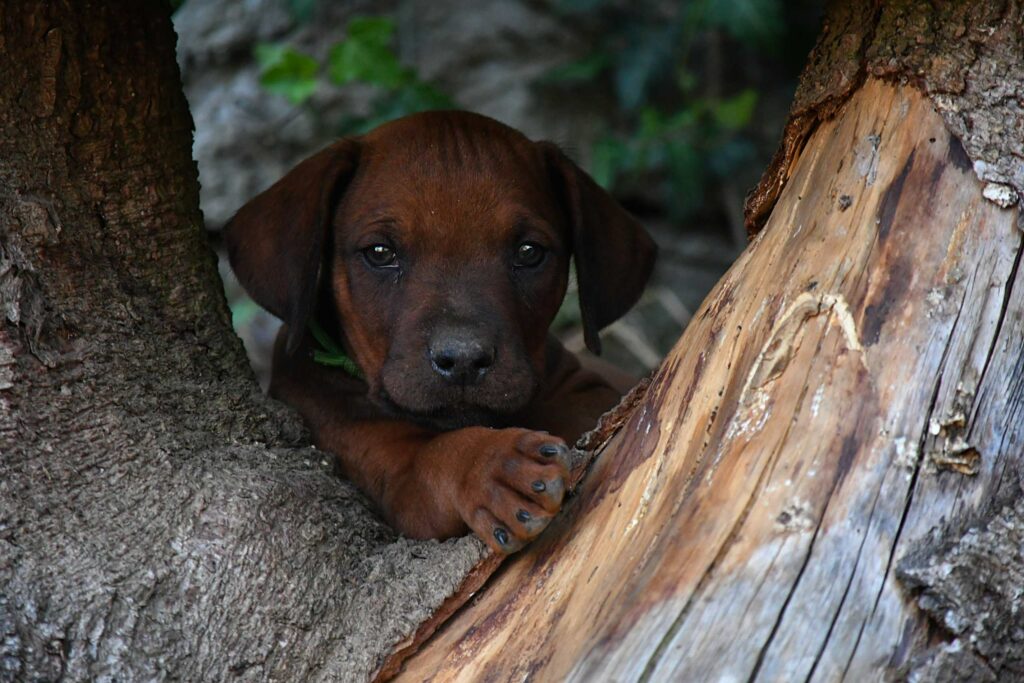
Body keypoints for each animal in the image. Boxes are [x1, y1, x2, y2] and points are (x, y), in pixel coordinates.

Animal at [224, 111, 656, 554]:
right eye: (380, 252)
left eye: (529, 252)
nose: (463, 359)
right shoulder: (388, 472)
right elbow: (433, 459)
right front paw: (492, 467)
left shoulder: (589, 391)